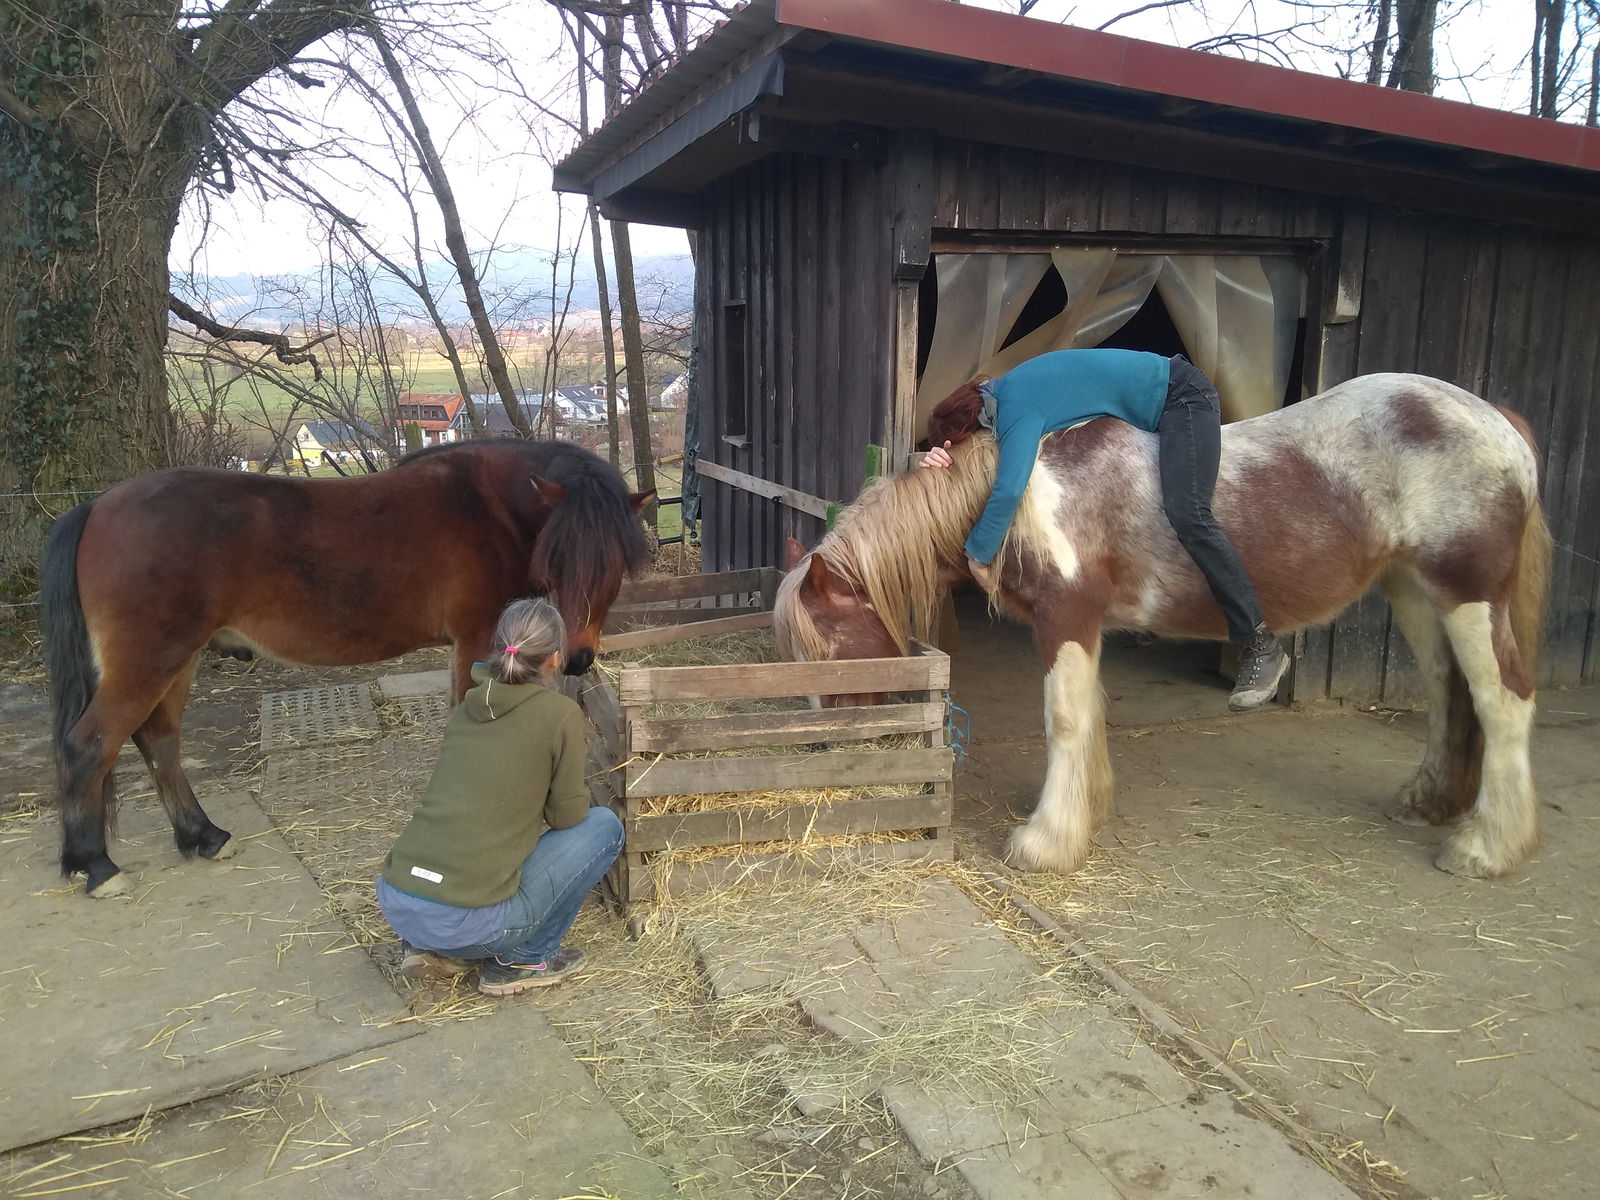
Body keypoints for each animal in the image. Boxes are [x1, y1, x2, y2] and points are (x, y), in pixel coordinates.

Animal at [41, 439, 653, 897]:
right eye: (558, 557)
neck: (490, 508)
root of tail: (97, 506)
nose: (579, 658)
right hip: (152, 660)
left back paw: (203, 836)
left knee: (159, 741)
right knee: (90, 744)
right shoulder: (476, 640)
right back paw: (96, 865)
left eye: (616, 564)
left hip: (179, 660)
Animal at [775, 374, 1551, 881]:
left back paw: (1487, 848)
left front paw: (1045, 842)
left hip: (1468, 595)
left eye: (828, 652)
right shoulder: (1086, 627)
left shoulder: (1066, 619)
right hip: (1415, 592)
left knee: (1504, 700)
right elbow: (1088, 715)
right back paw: (1429, 803)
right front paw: (1081, 815)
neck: (1017, 490)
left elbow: (1064, 719)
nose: (822, 750)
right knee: (1449, 693)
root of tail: (1496, 418)